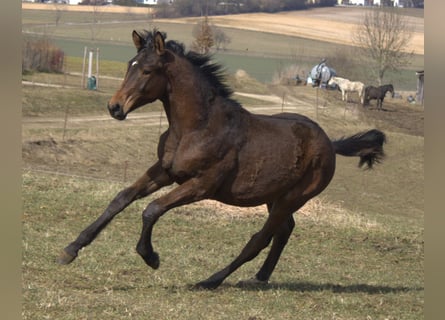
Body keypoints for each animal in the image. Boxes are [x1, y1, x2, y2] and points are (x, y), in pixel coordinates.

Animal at [58, 30, 386, 290]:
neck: (197, 127)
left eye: (148, 71)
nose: (114, 108)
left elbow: (152, 209)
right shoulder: (164, 171)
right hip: (275, 196)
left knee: (260, 238)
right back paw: (260, 277)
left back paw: (211, 280)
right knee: (284, 231)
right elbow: (121, 198)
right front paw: (71, 249)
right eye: (130, 66)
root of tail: (330, 143)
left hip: (294, 197)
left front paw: (151, 257)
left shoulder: (202, 185)